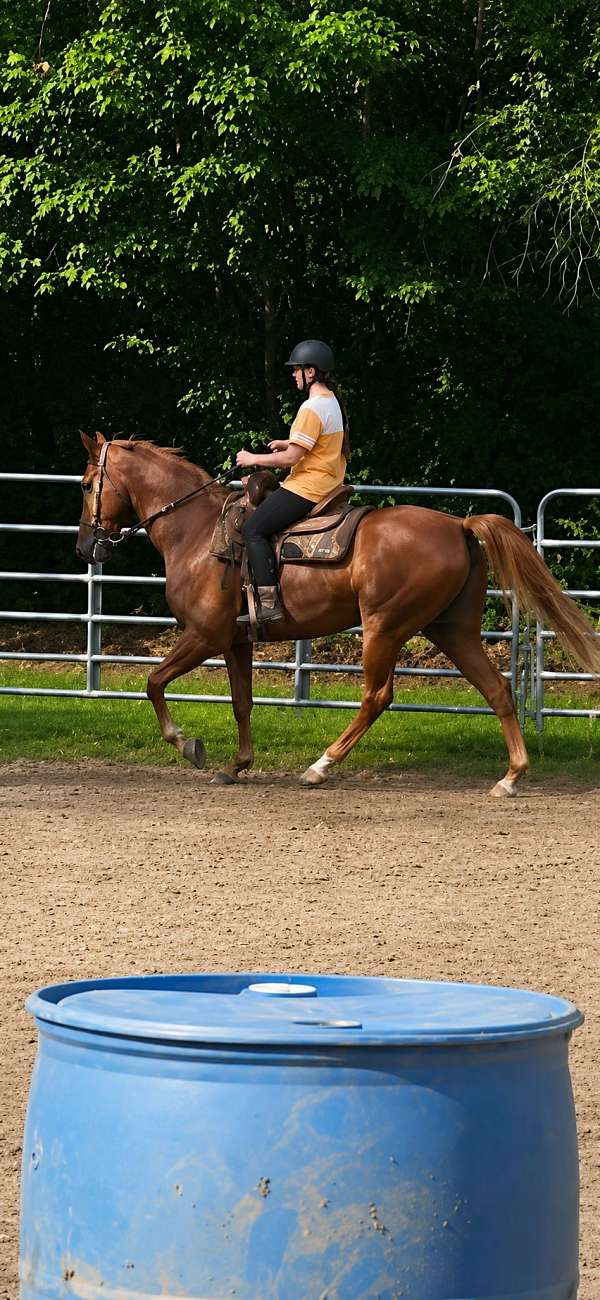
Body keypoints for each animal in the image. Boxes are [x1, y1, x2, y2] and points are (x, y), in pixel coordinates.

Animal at [76, 432, 600, 794]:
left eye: (85, 484)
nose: (85, 547)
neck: (197, 532)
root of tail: (459, 525)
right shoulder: (235, 641)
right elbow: (242, 702)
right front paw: (236, 766)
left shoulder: (203, 635)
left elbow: (154, 682)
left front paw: (189, 745)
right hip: (452, 629)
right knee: (496, 689)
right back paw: (511, 777)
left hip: (385, 627)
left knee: (376, 696)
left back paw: (319, 767)